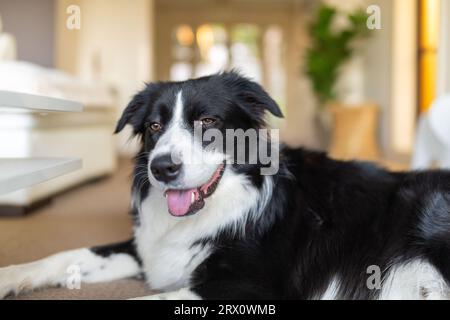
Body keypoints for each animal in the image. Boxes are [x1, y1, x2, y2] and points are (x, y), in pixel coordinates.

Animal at [0, 72, 450, 300]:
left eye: (209, 122)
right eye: (154, 127)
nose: (162, 168)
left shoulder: (248, 287)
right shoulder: (150, 250)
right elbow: (68, 255)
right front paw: (11, 275)